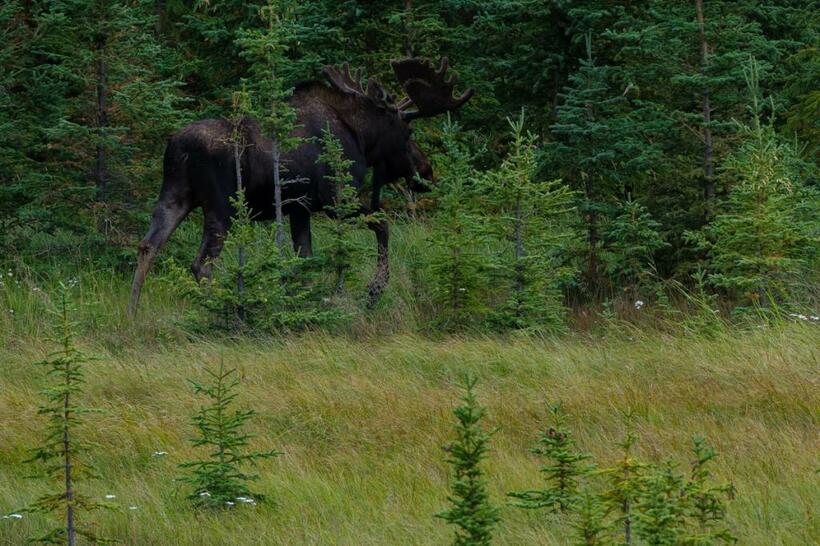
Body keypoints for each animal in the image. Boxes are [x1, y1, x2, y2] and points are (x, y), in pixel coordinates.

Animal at [128, 56, 474, 314]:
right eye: (408, 131)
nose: (427, 171)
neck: (361, 138)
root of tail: (177, 146)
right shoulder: (336, 198)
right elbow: (383, 225)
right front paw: (373, 290)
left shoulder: (299, 207)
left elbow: (304, 257)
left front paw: (304, 303)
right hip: (222, 206)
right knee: (201, 264)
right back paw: (218, 311)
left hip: (175, 195)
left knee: (148, 246)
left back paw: (132, 315)